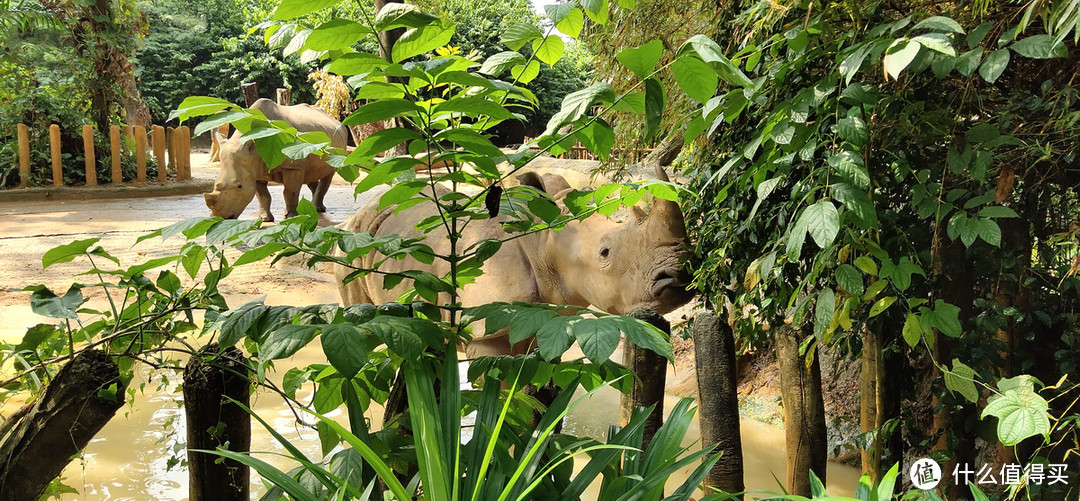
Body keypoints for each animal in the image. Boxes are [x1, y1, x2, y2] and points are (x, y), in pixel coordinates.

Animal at [204, 97, 347, 221]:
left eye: (239, 186)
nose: (219, 217)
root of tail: (337, 121)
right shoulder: (254, 169)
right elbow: (263, 196)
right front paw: (264, 218)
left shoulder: (292, 167)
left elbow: (290, 192)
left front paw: (290, 217)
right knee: (311, 173)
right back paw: (312, 207)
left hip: (337, 151)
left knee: (328, 174)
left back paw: (318, 209)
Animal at [332, 161, 695, 358]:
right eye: (605, 253)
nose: (679, 277)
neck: (542, 243)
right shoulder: (487, 331)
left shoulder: (541, 321)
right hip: (348, 244)